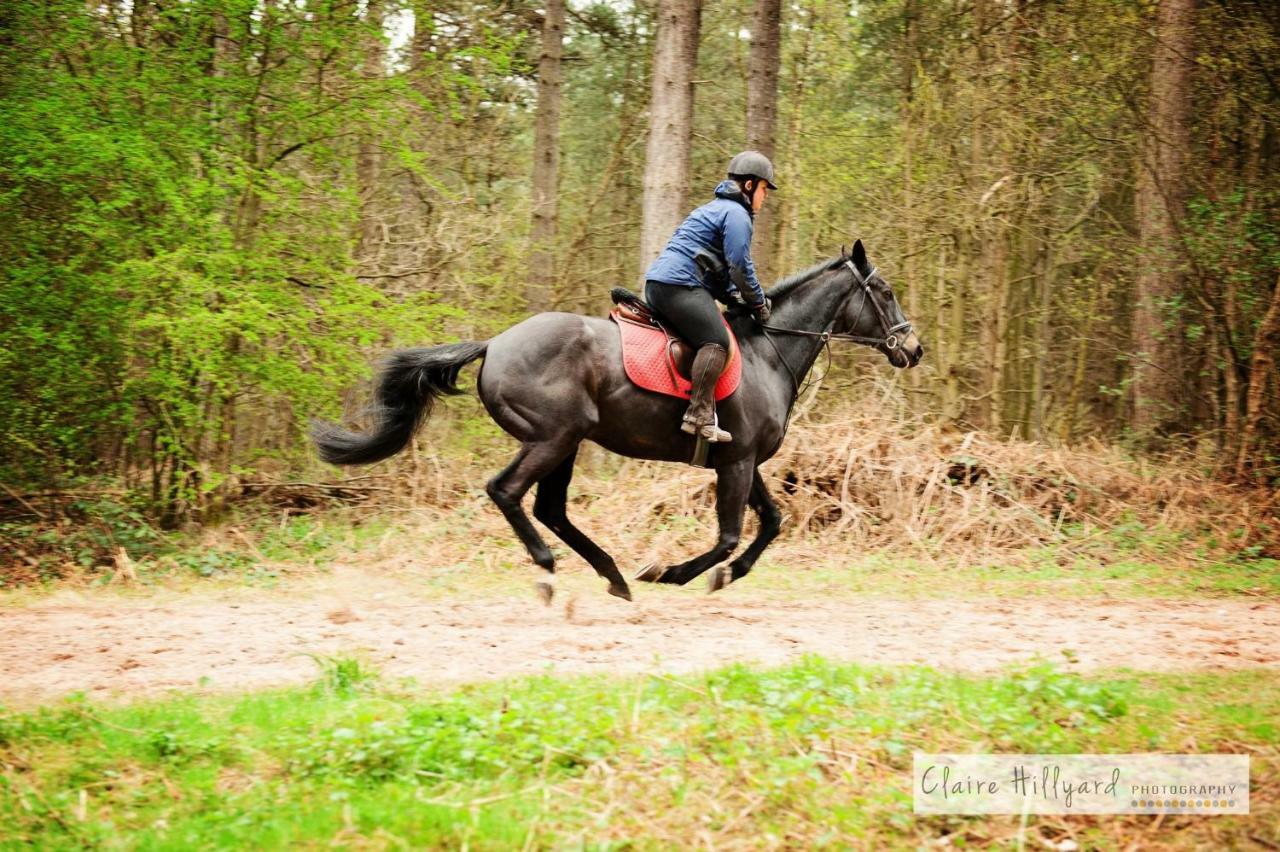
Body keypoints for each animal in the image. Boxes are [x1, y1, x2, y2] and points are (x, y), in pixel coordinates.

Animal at [314, 235, 926, 601]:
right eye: (885, 291)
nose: (913, 349)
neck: (766, 352)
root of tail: (495, 343)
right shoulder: (737, 461)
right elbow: (729, 535)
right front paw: (672, 573)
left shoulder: (743, 460)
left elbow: (770, 523)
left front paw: (722, 576)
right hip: (552, 436)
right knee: (507, 492)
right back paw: (549, 569)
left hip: (568, 443)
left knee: (551, 509)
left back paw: (611, 576)